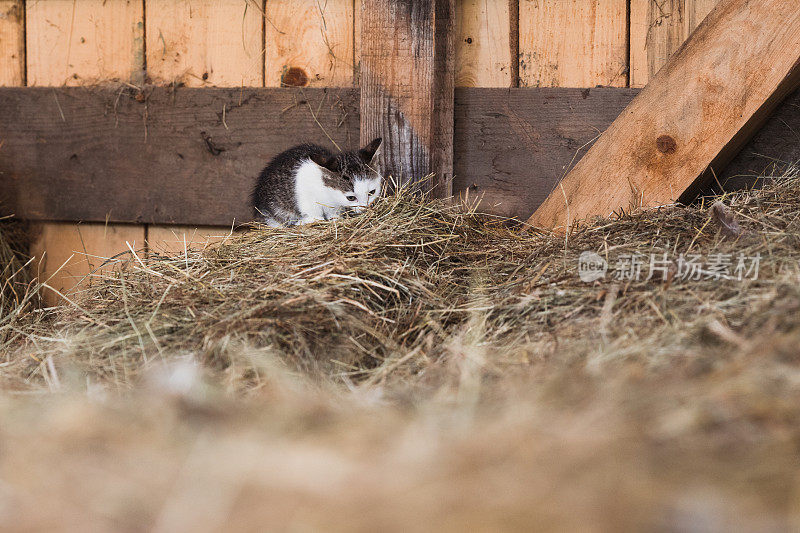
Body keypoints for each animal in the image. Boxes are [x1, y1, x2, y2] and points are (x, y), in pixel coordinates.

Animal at [253, 136, 384, 225]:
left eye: (372, 192)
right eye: (351, 198)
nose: (365, 207)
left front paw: (335, 218)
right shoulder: (306, 196)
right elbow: (312, 211)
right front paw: (312, 220)